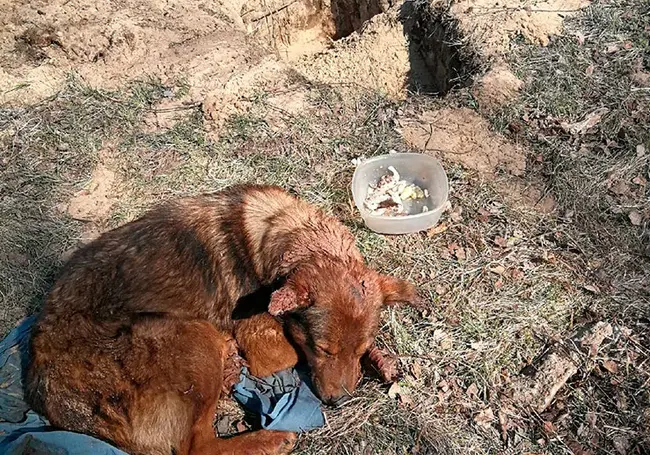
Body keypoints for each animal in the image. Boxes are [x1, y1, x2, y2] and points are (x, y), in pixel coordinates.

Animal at [27, 185, 418, 455]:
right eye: (322, 349)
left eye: (359, 350)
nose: (339, 403)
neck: (290, 235)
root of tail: (60, 404)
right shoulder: (266, 346)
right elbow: (290, 352)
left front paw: (381, 360)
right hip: (192, 338)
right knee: (196, 448)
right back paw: (267, 438)